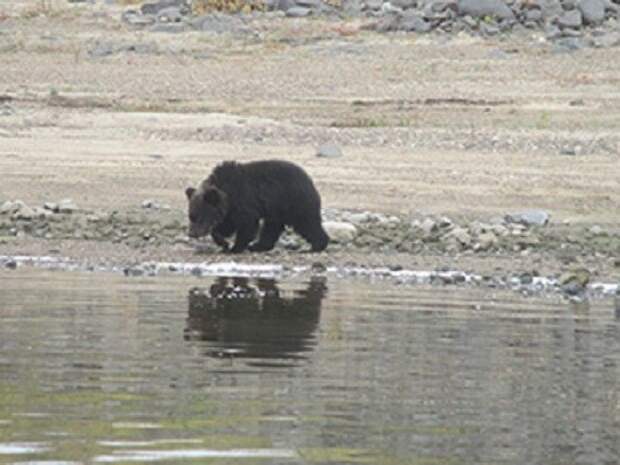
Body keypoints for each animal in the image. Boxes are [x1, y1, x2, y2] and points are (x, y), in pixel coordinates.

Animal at [184, 160, 330, 254]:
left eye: (199, 217)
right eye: (191, 216)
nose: (191, 233)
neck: (228, 192)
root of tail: (310, 181)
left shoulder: (244, 201)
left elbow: (246, 225)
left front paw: (235, 248)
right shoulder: (230, 210)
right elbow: (224, 226)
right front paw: (223, 243)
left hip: (293, 201)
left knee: (307, 223)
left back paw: (315, 246)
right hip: (277, 210)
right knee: (272, 227)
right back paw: (258, 246)